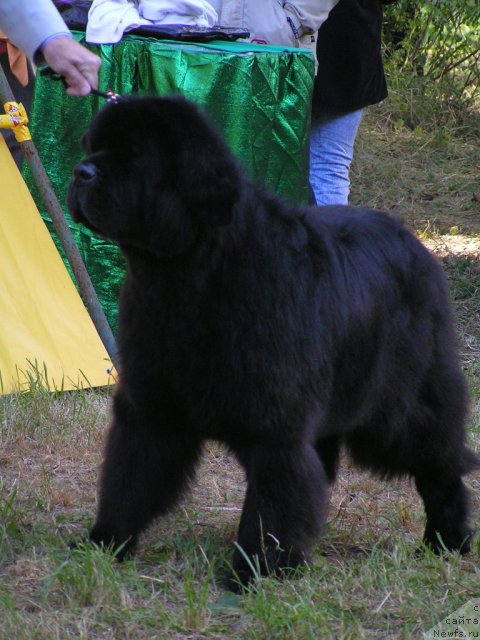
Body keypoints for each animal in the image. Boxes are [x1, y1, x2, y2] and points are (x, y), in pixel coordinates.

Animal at [67, 94, 476, 584]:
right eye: (91, 147)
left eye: (131, 156)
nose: (80, 172)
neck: (189, 276)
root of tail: (416, 245)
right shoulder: (152, 405)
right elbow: (131, 479)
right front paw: (104, 544)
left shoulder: (275, 425)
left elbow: (272, 503)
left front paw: (252, 574)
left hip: (395, 410)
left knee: (440, 465)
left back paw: (447, 541)